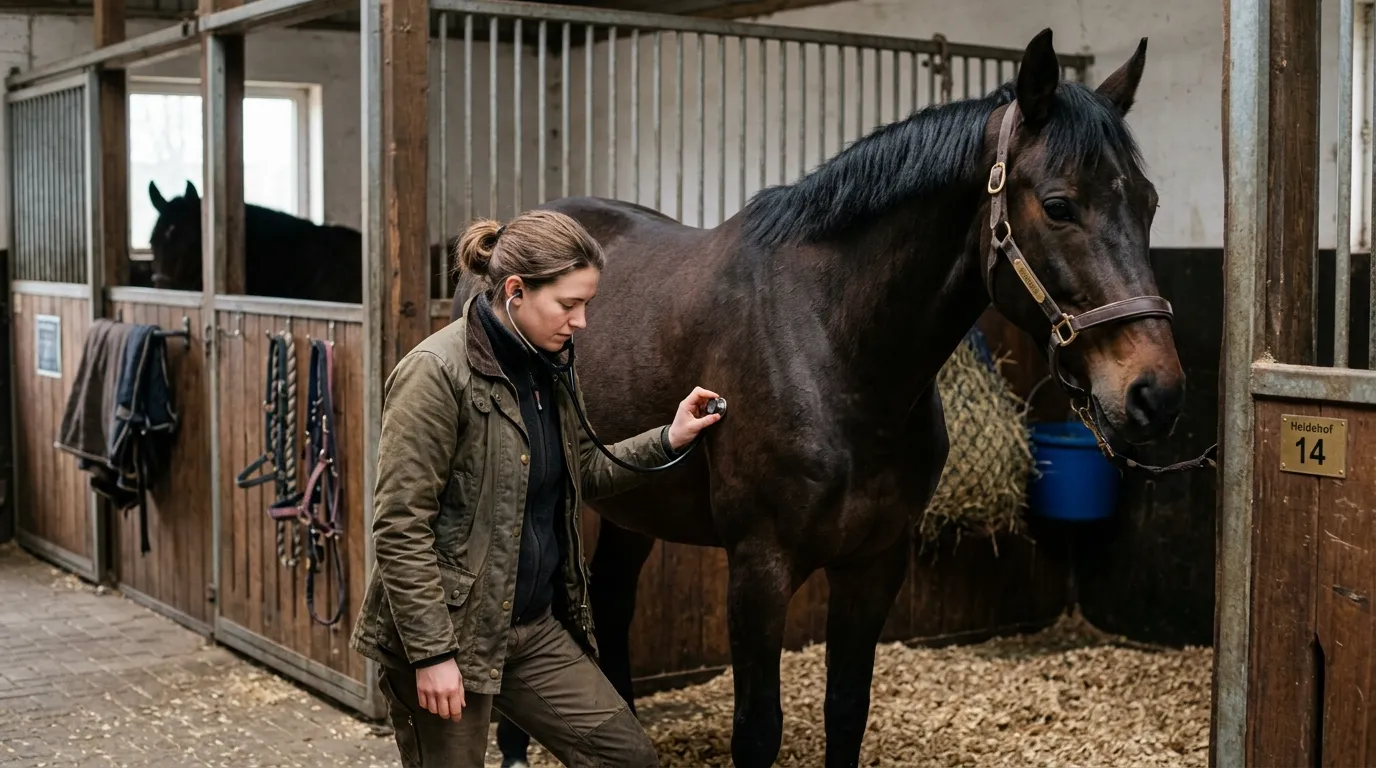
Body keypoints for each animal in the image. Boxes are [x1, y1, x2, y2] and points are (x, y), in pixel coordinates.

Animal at [454, 28, 1179, 768]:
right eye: (1060, 206)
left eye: (1149, 203)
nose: (1156, 392)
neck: (836, 352)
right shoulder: (760, 567)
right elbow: (758, 730)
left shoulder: (874, 562)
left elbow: (847, 709)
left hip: (634, 502)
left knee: (612, 596)